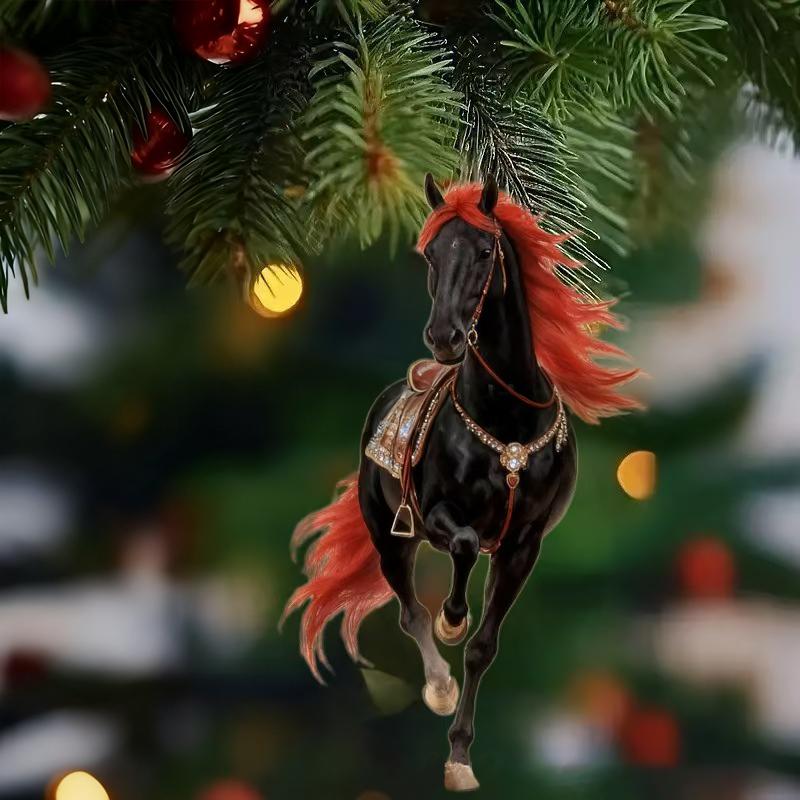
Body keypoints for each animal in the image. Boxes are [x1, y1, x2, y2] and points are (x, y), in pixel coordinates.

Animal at [283, 175, 640, 792]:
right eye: (429, 253)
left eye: (482, 251)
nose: (444, 337)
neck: (506, 422)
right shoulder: (437, 514)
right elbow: (466, 547)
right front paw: (452, 620)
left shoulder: (523, 544)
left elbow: (484, 646)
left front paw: (459, 760)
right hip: (388, 534)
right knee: (409, 610)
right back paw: (438, 681)